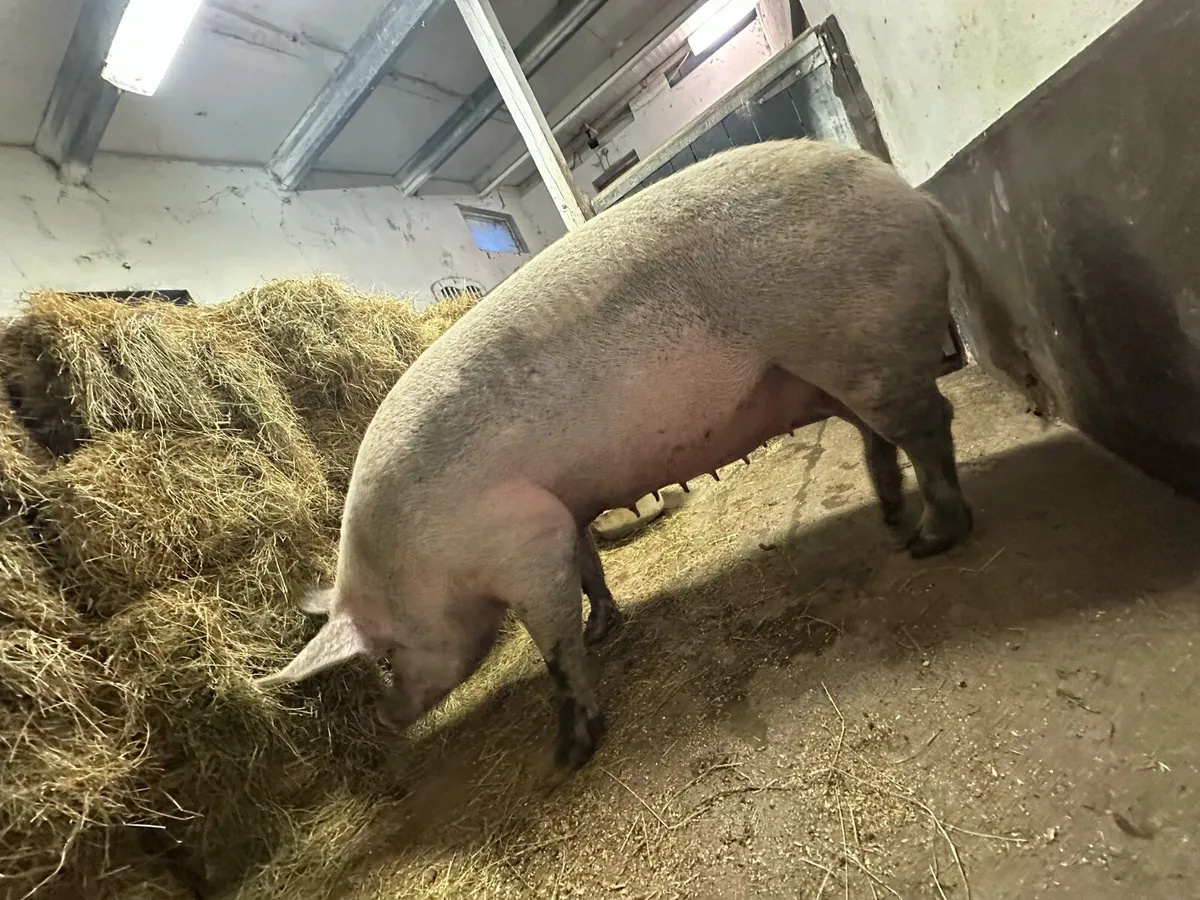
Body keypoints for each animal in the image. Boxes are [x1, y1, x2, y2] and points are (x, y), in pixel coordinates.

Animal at [254, 138, 984, 769]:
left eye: (383, 655)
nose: (386, 719)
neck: (421, 565)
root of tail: (911, 193)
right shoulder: (560, 509)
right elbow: (588, 565)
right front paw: (605, 627)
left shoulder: (521, 540)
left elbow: (554, 645)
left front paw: (571, 754)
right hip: (837, 368)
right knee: (878, 436)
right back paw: (890, 516)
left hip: (861, 341)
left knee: (929, 425)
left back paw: (929, 540)